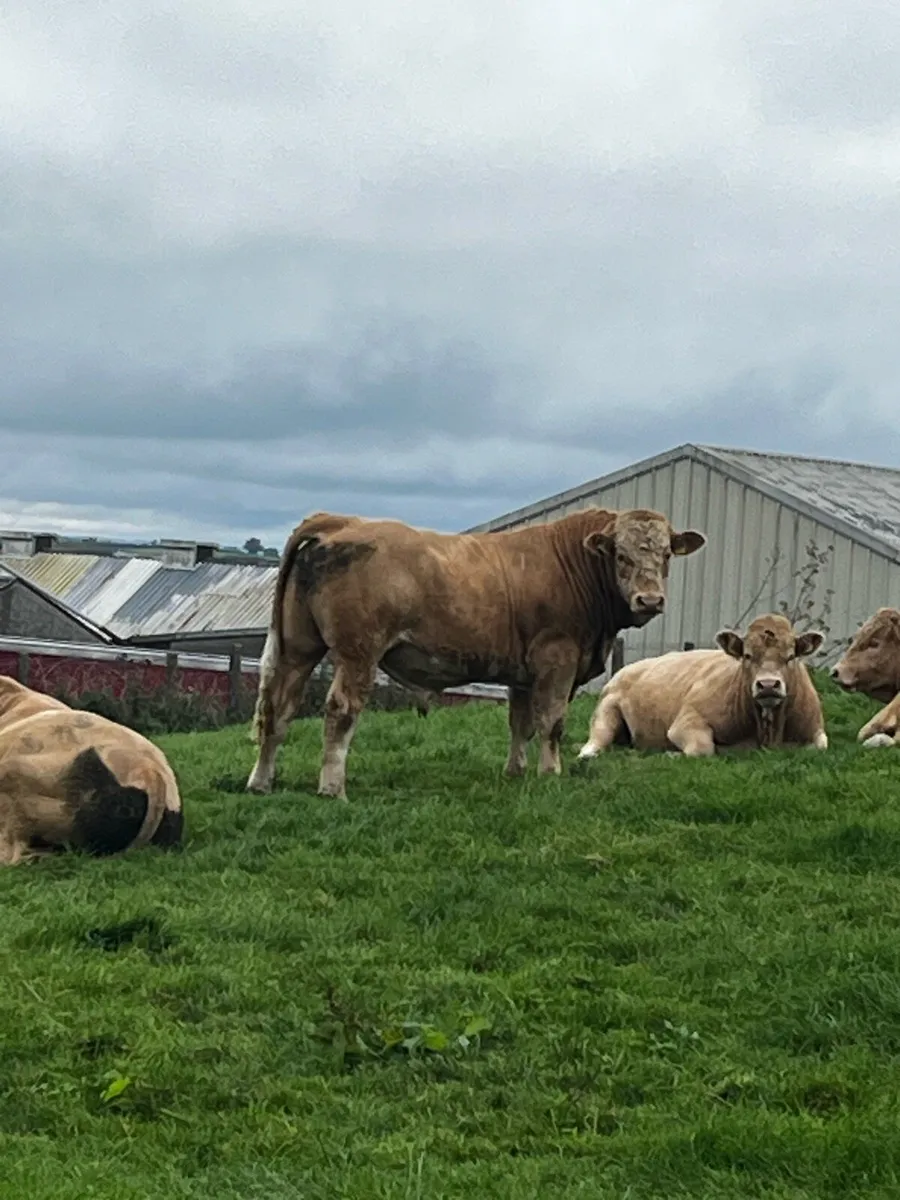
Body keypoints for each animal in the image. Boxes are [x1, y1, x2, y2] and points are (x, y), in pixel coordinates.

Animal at [245, 506, 706, 799]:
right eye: (621, 556)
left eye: (666, 554)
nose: (650, 600)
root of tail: (337, 522)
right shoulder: (557, 659)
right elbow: (552, 723)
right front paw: (550, 773)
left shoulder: (523, 673)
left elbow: (520, 723)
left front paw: (516, 773)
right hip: (358, 652)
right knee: (340, 710)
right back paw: (332, 788)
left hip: (298, 649)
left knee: (278, 708)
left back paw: (261, 782)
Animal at [577, 613, 827, 759]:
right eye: (747, 655)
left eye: (791, 656)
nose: (767, 685)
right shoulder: (687, 721)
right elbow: (702, 749)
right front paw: (672, 755)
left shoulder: (816, 731)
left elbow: (819, 746)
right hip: (605, 711)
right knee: (596, 740)